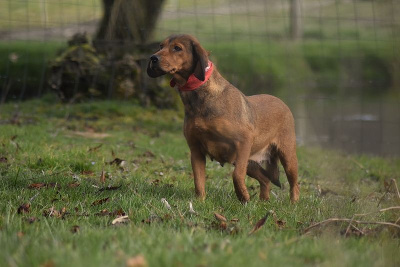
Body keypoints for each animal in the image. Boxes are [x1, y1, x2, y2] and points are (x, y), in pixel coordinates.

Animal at [148, 35, 298, 203]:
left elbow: (236, 175)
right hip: (250, 163)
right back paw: (263, 202)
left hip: (286, 156)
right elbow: (198, 181)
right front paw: (200, 202)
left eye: (177, 48)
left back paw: (293, 203)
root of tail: (282, 102)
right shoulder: (196, 151)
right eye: (160, 46)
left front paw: (243, 196)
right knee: (265, 179)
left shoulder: (244, 142)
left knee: (294, 183)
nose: (153, 58)